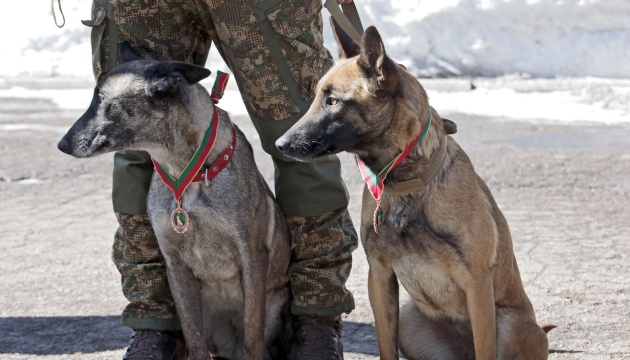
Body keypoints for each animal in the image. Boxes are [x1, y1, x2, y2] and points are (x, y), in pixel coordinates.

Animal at [58, 44, 290, 360]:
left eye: (103, 99)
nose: (62, 145)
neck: (187, 173)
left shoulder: (252, 257)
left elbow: (253, 338)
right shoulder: (176, 266)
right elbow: (194, 340)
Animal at [276, 19, 552, 360]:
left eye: (334, 101)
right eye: (317, 97)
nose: (280, 144)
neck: (406, 185)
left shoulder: (477, 284)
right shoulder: (379, 277)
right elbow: (385, 347)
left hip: (508, 324)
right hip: (410, 322)